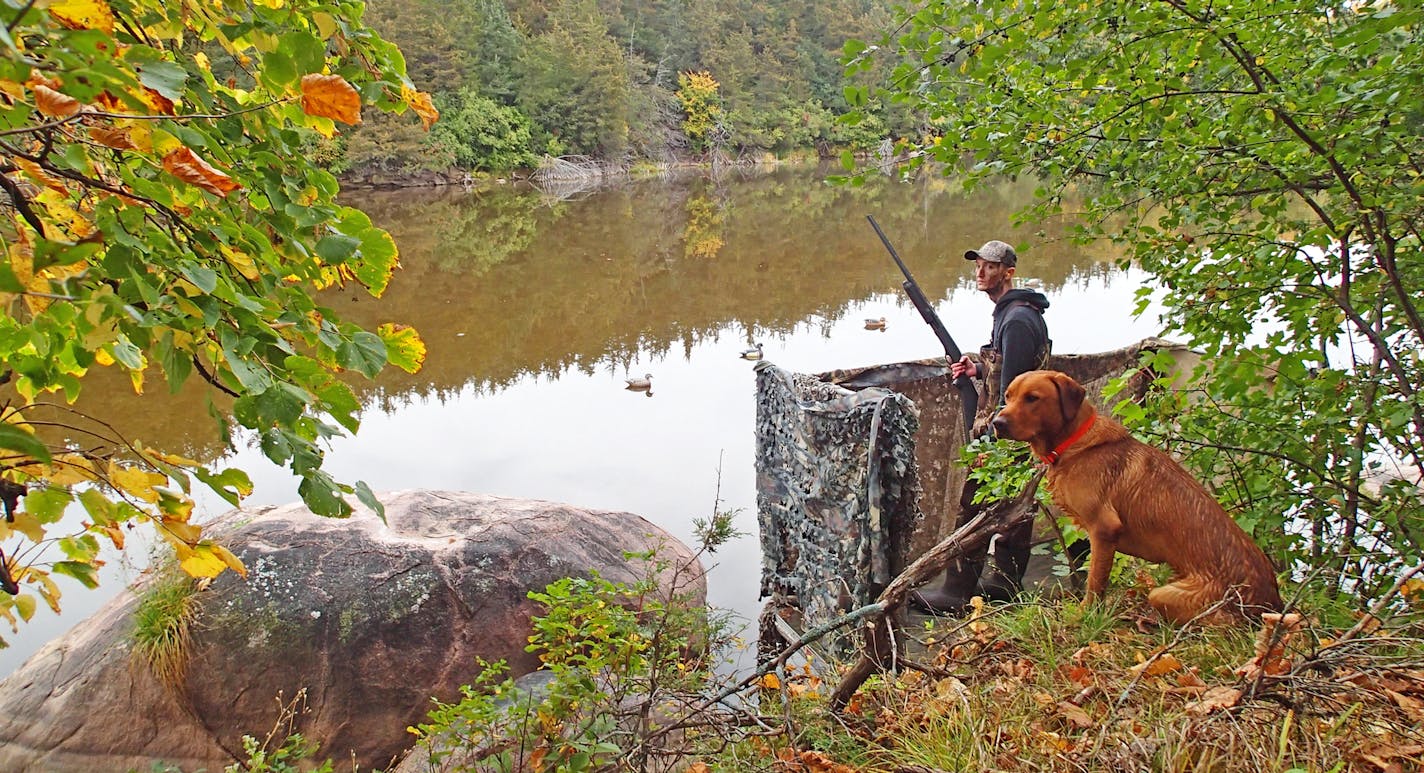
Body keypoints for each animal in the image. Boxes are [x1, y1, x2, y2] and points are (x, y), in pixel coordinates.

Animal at [991, 370, 1281, 623]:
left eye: (1032, 398)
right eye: (1008, 396)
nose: (997, 423)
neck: (1073, 443)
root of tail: (1270, 603)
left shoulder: (1103, 529)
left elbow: (1094, 582)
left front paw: (1085, 616)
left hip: (1165, 594)